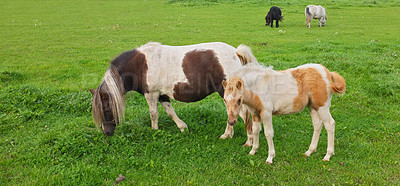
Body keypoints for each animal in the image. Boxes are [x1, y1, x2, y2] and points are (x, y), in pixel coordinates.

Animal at [89, 41, 256, 135]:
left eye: (105, 109)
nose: (106, 132)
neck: (139, 65)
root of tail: (235, 52)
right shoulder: (162, 95)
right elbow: (170, 112)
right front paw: (182, 128)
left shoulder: (151, 94)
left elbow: (153, 114)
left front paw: (154, 131)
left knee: (239, 113)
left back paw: (228, 135)